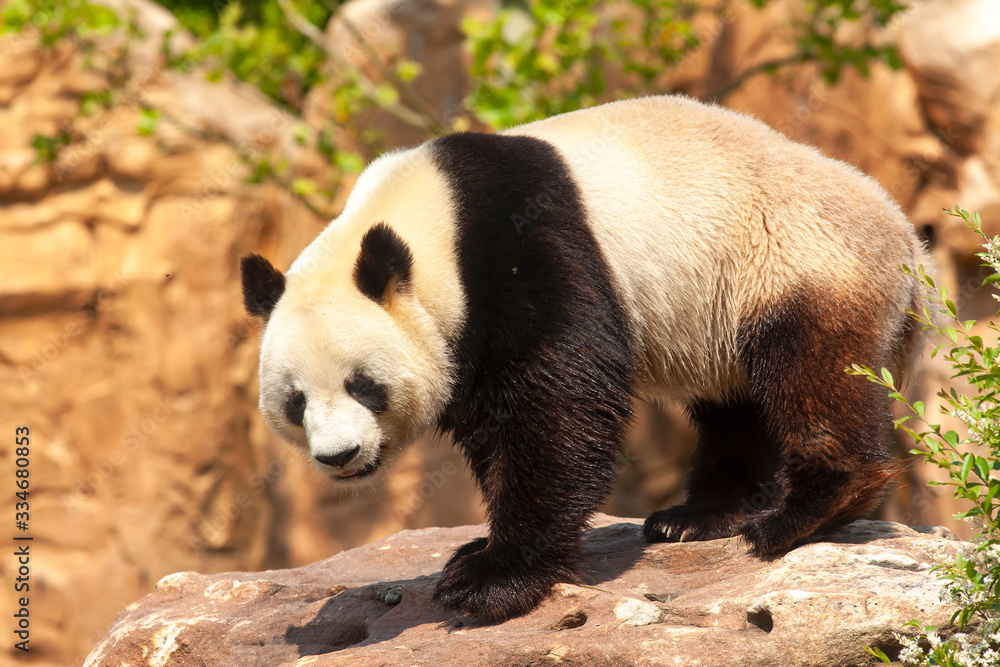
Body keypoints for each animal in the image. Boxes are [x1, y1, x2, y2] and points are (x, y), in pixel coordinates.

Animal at [241, 95, 930, 623]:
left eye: (363, 385)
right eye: (295, 402)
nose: (340, 457)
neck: (428, 225)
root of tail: (909, 242)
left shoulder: (526, 246)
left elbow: (559, 399)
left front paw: (491, 581)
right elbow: (498, 423)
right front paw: (479, 550)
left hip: (793, 259)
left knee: (812, 372)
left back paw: (806, 513)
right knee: (737, 404)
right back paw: (697, 518)